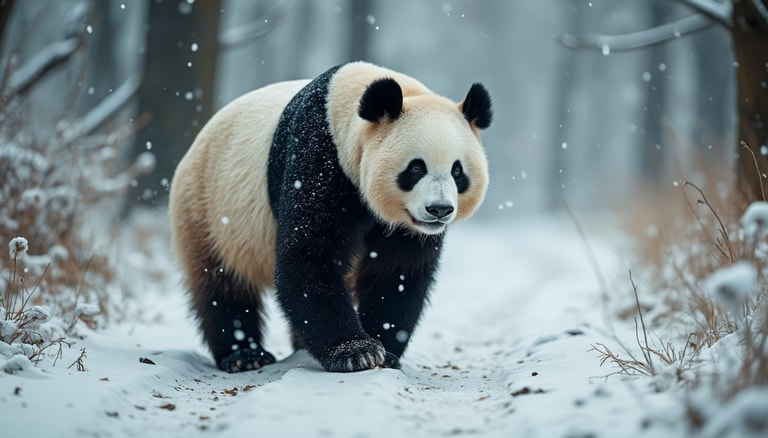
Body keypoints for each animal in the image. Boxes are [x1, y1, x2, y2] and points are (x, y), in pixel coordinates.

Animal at [169, 61, 492, 373]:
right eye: (416, 168)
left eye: (457, 171)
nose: (439, 209)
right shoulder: (318, 156)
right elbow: (308, 254)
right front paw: (355, 352)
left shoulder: (405, 227)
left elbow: (397, 272)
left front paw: (385, 351)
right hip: (206, 208)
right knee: (221, 284)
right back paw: (244, 355)